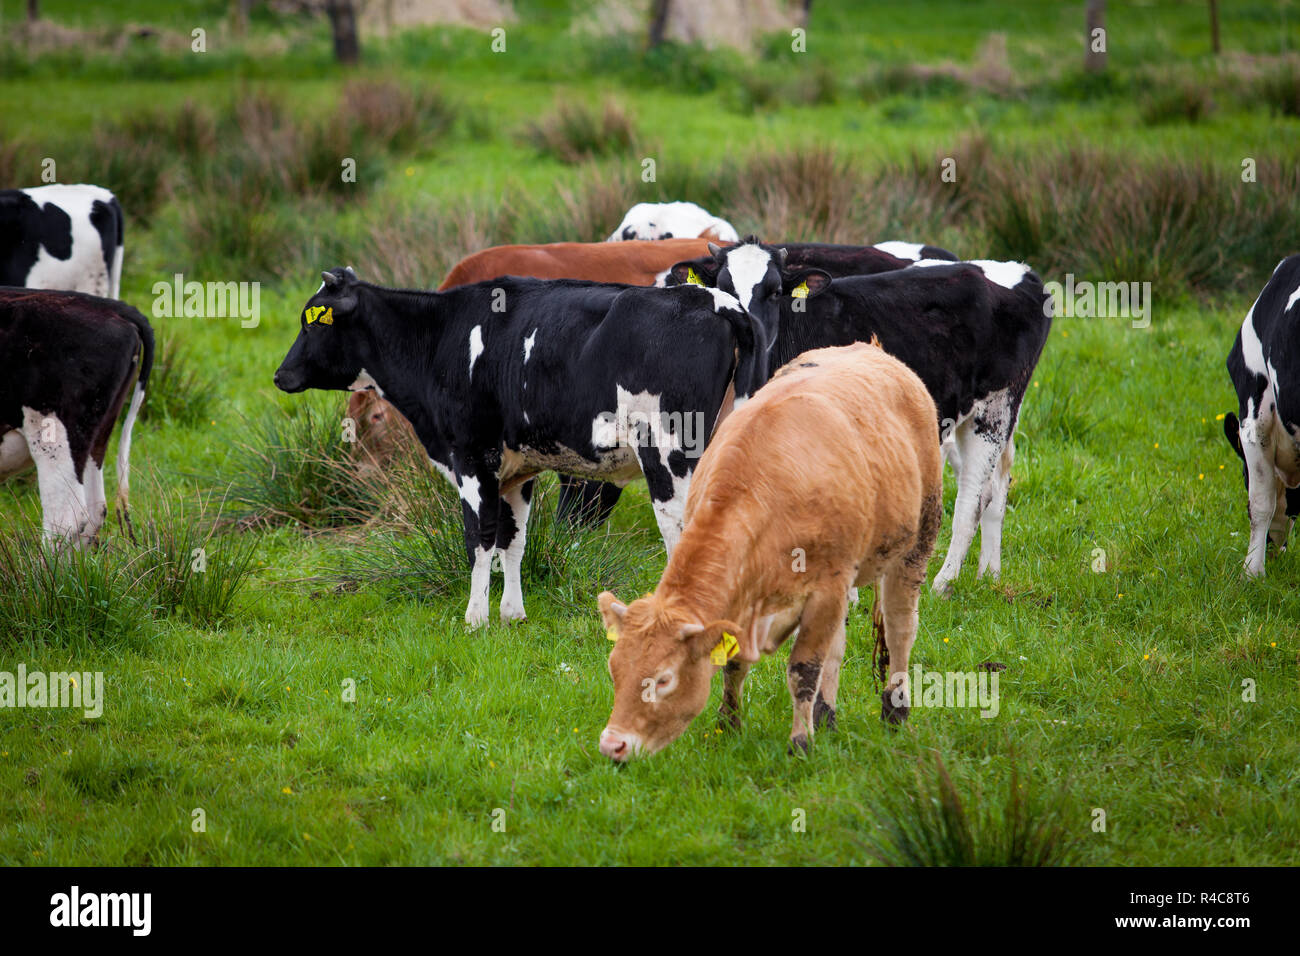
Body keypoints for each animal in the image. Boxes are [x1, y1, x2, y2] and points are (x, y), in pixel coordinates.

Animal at [274, 267, 767, 626]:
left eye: (311, 321)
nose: (280, 375)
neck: (443, 337)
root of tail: (713, 299)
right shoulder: (516, 471)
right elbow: (513, 540)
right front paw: (511, 613)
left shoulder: (473, 456)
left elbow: (478, 538)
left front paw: (475, 618)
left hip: (668, 455)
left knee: (682, 531)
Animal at [598, 343, 942, 761]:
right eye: (615, 669)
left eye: (663, 680)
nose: (612, 744)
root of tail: (870, 349)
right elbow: (735, 665)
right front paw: (728, 725)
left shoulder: (824, 590)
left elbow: (803, 669)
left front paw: (800, 742)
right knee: (838, 646)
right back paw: (827, 716)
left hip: (918, 540)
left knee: (900, 627)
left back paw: (895, 710)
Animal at [676, 238, 1052, 594]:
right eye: (724, 288)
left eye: (774, 292)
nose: (751, 332)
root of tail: (1020, 272)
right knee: (998, 487)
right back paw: (989, 574)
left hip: (995, 408)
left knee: (974, 497)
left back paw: (944, 582)